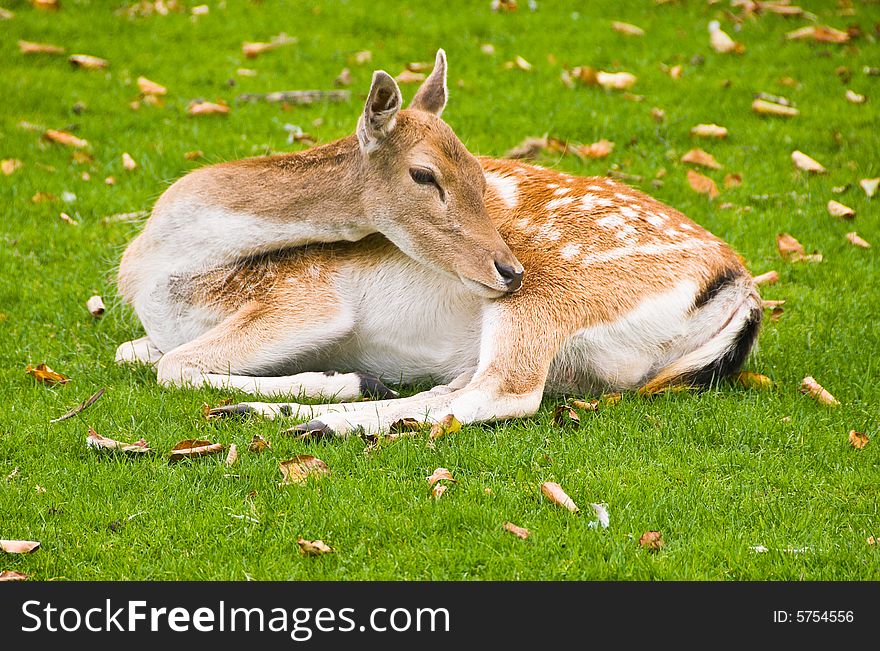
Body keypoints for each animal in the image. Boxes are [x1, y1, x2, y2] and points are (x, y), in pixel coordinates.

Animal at [117, 49, 764, 438]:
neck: (159, 275)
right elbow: (134, 353)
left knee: (503, 393)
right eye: (426, 175)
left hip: (552, 295)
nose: (508, 269)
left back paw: (314, 416)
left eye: (479, 171)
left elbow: (173, 366)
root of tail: (741, 290)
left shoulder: (307, 294)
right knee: (461, 387)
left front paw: (337, 380)